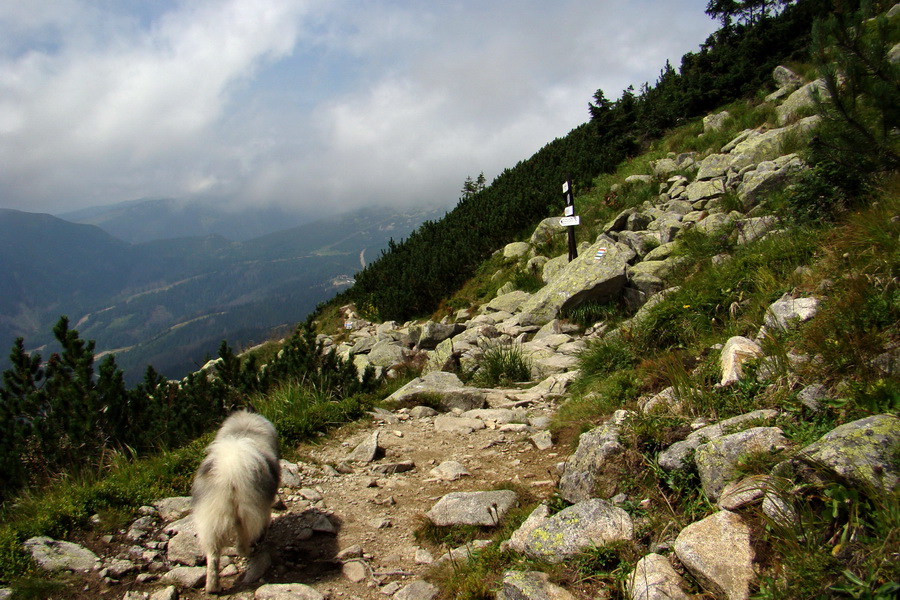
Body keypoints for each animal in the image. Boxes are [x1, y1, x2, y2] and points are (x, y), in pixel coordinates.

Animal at [193, 410, 282, 592]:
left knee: (213, 555)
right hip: (247, 514)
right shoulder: (265, 507)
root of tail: (230, 472)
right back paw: (251, 550)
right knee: (241, 544)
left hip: (210, 519)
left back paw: (213, 587)